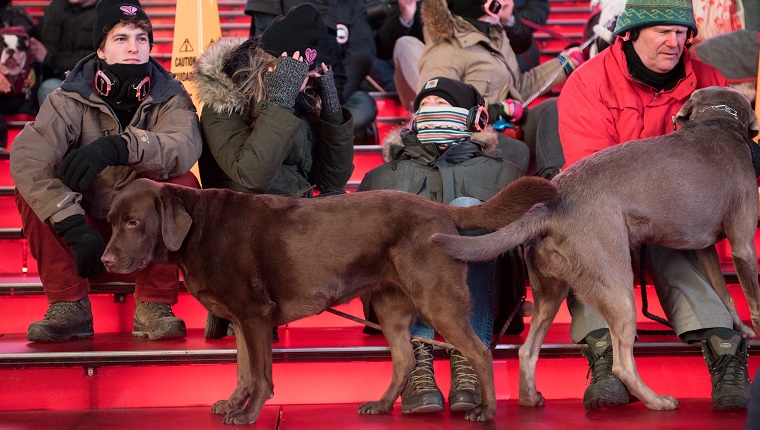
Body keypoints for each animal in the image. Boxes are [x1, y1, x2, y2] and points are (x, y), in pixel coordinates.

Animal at [430, 86, 760, 410]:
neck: (717, 122)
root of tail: (548, 208)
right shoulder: (743, 246)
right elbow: (753, 297)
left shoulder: (706, 248)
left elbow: (725, 293)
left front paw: (741, 329)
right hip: (617, 285)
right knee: (622, 363)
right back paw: (658, 401)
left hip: (550, 292)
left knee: (528, 349)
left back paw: (530, 398)